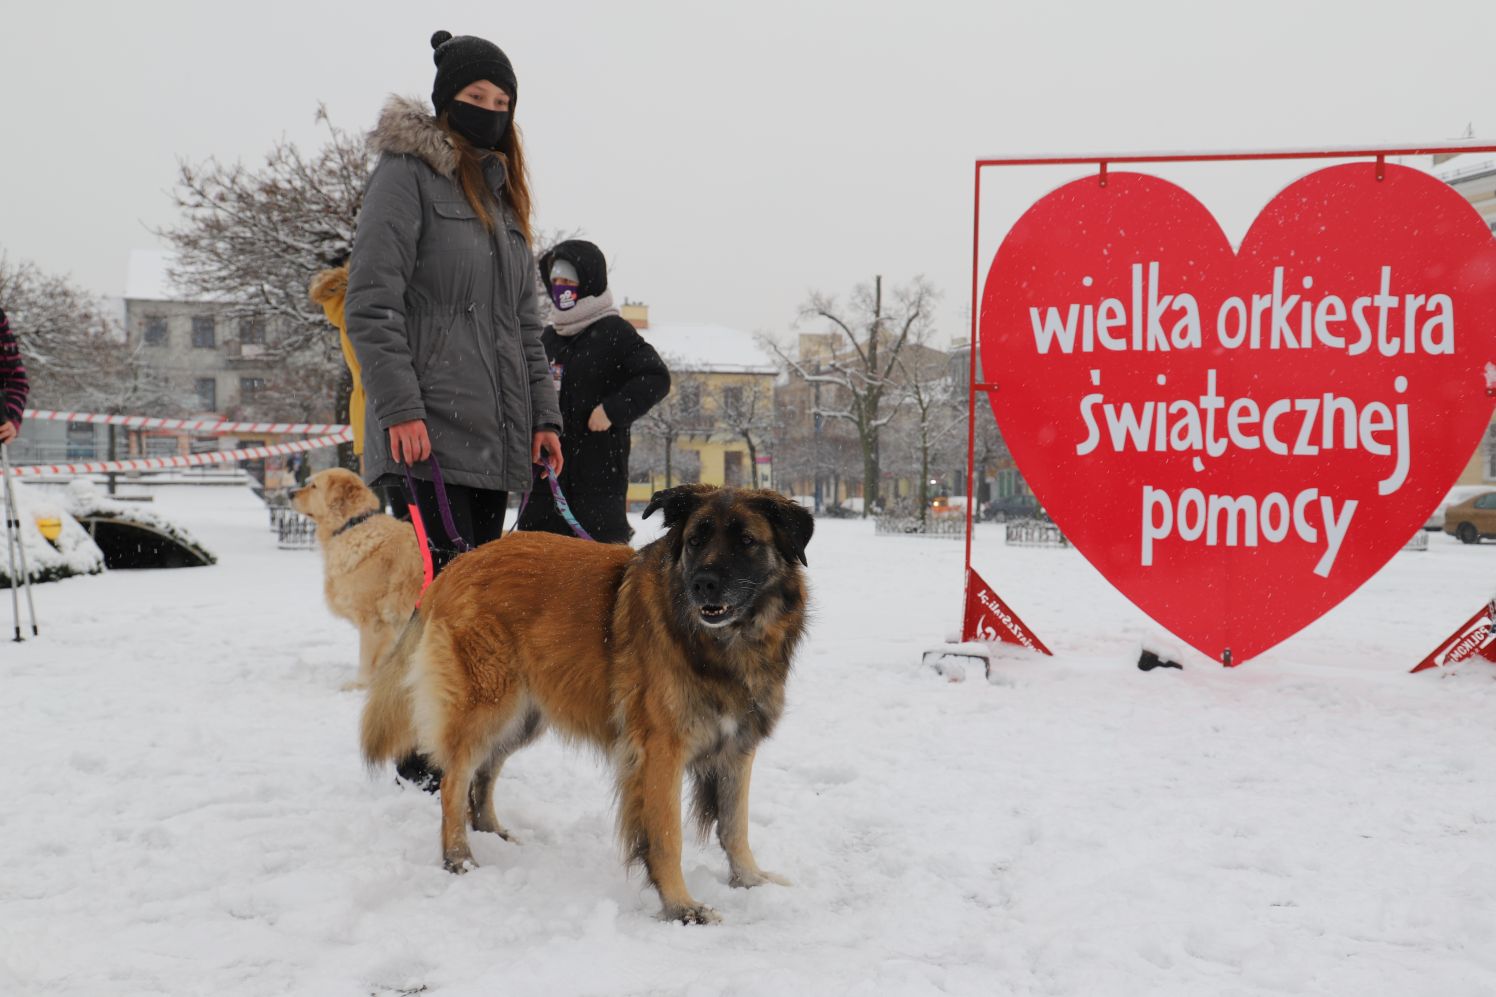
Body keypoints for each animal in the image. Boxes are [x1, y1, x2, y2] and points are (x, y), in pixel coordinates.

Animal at [291, 467, 424, 688]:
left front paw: (359, 685)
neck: (352, 525)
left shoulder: (373, 619)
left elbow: (366, 657)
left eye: (314, 486)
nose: (289, 493)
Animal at [362, 485, 813, 922]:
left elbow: (735, 826)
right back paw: (458, 857)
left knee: (484, 772)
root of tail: (457, 564)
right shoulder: (660, 752)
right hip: (488, 708)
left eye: (747, 541)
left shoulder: (738, 747)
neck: (721, 643)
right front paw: (681, 906)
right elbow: (668, 836)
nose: (702, 584)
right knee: (453, 781)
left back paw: (491, 831)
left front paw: (751, 881)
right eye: (695, 541)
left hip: (523, 718)